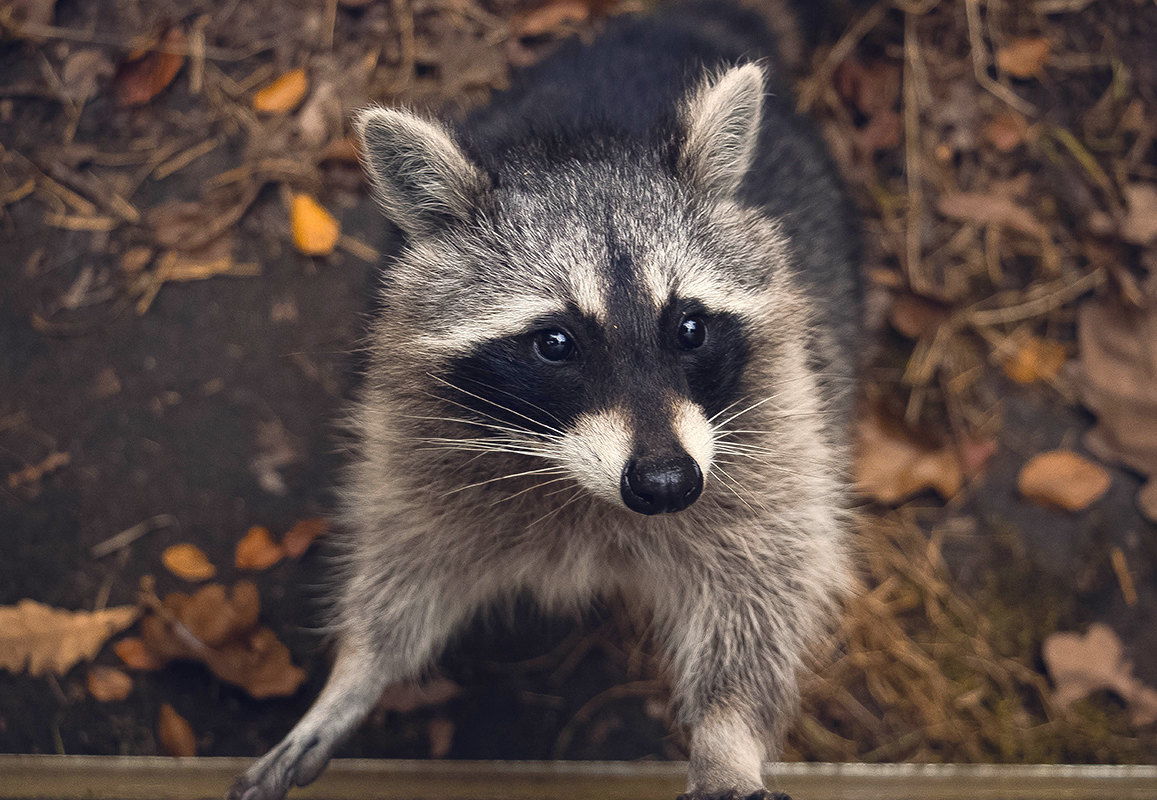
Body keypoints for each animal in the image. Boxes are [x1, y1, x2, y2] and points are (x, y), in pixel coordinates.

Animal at [227, 1, 860, 800]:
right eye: (555, 343)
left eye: (689, 327)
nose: (665, 484)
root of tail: (679, 24)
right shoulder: (416, 428)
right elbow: (407, 555)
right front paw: (356, 671)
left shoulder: (774, 424)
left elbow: (763, 582)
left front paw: (727, 735)